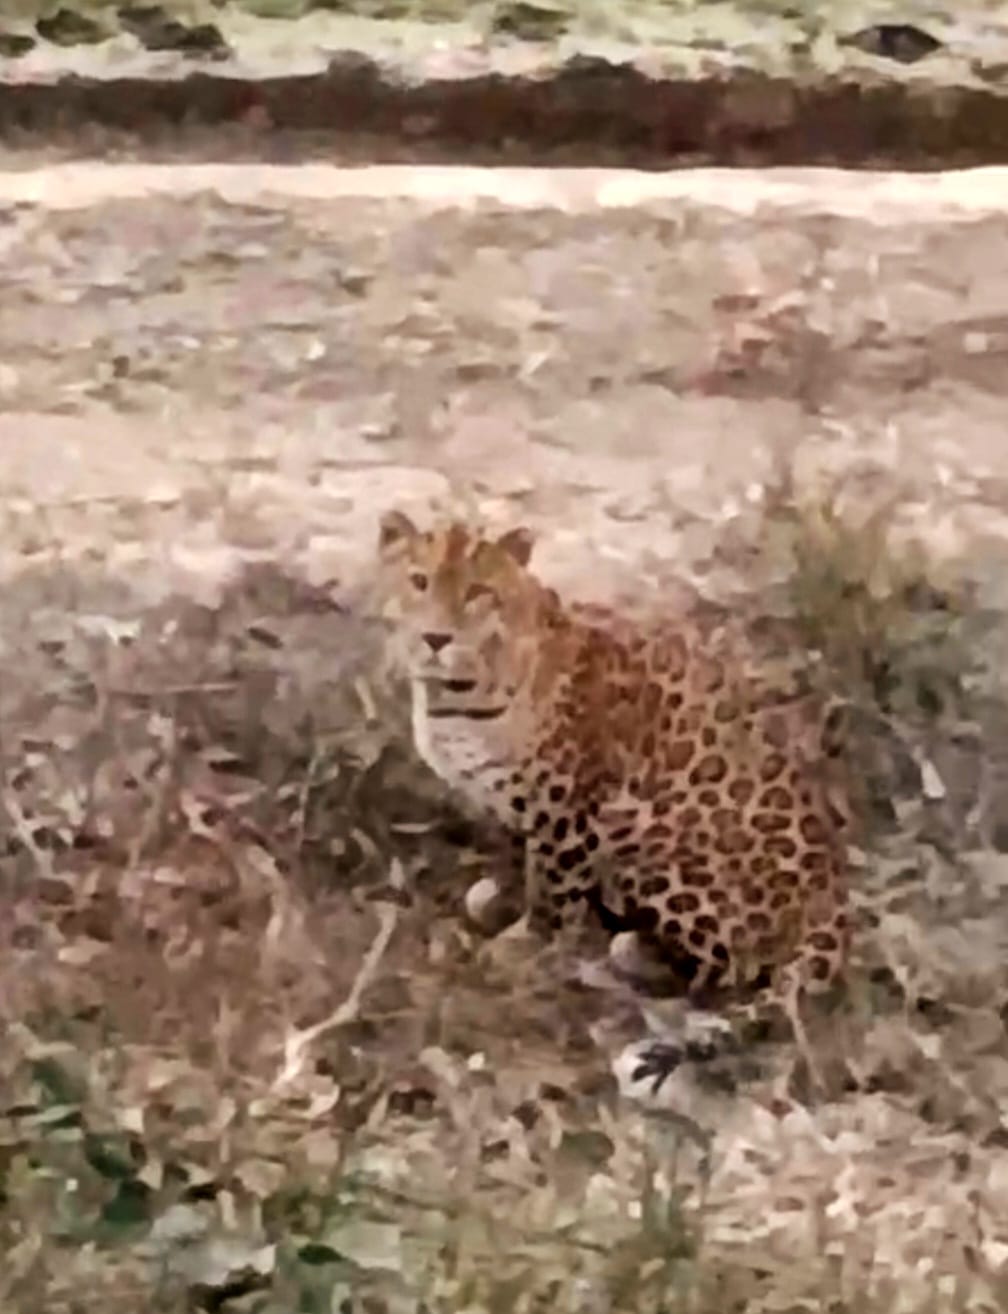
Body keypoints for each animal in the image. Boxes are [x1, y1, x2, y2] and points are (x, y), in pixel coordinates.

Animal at [377, 509, 852, 1080]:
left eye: (477, 593)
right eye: (418, 581)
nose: (434, 637)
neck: (454, 697)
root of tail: (833, 894)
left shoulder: (567, 807)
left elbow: (552, 889)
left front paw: (526, 944)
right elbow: (524, 862)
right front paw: (500, 899)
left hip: (647, 847)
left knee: (732, 965)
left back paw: (631, 950)